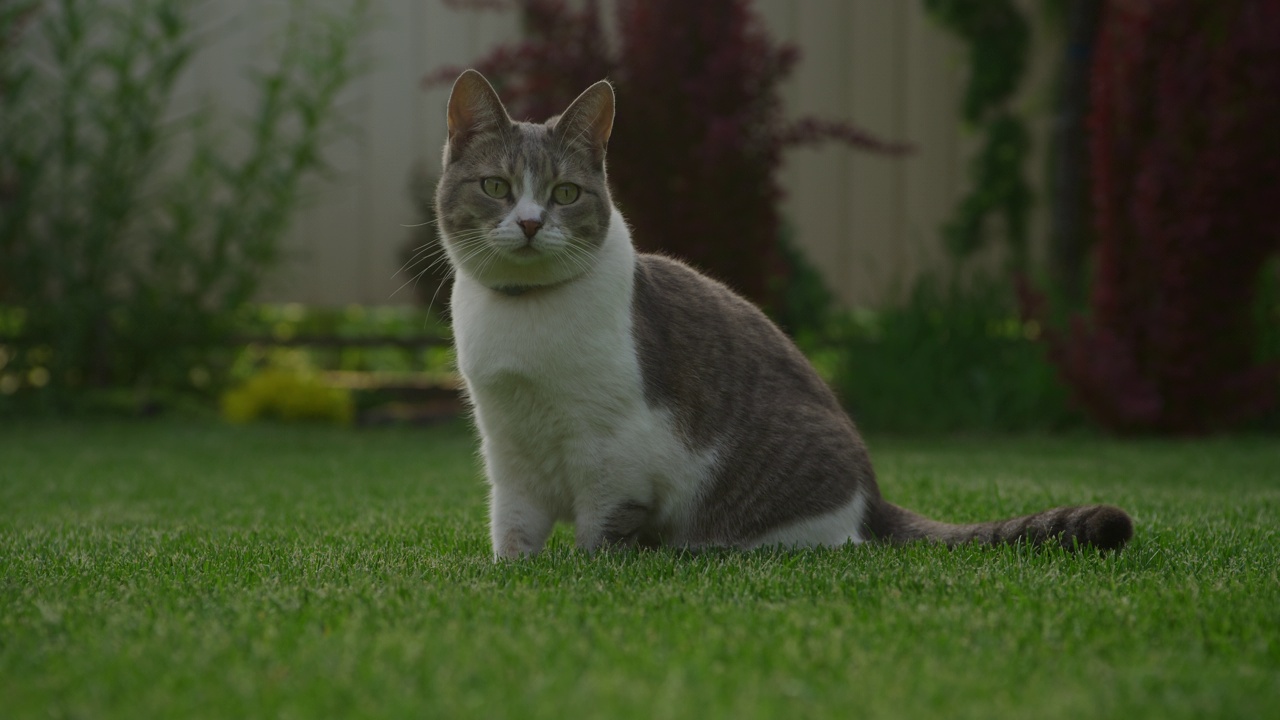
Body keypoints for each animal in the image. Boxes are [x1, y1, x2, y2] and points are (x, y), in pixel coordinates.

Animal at [437, 70, 1131, 558]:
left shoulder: (616, 451)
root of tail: (874, 496)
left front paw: (588, 568)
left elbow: (599, 534)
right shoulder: (508, 451)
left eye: (565, 193)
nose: (530, 223)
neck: (525, 316)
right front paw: (512, 569)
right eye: (496, 186)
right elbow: (514, 530)